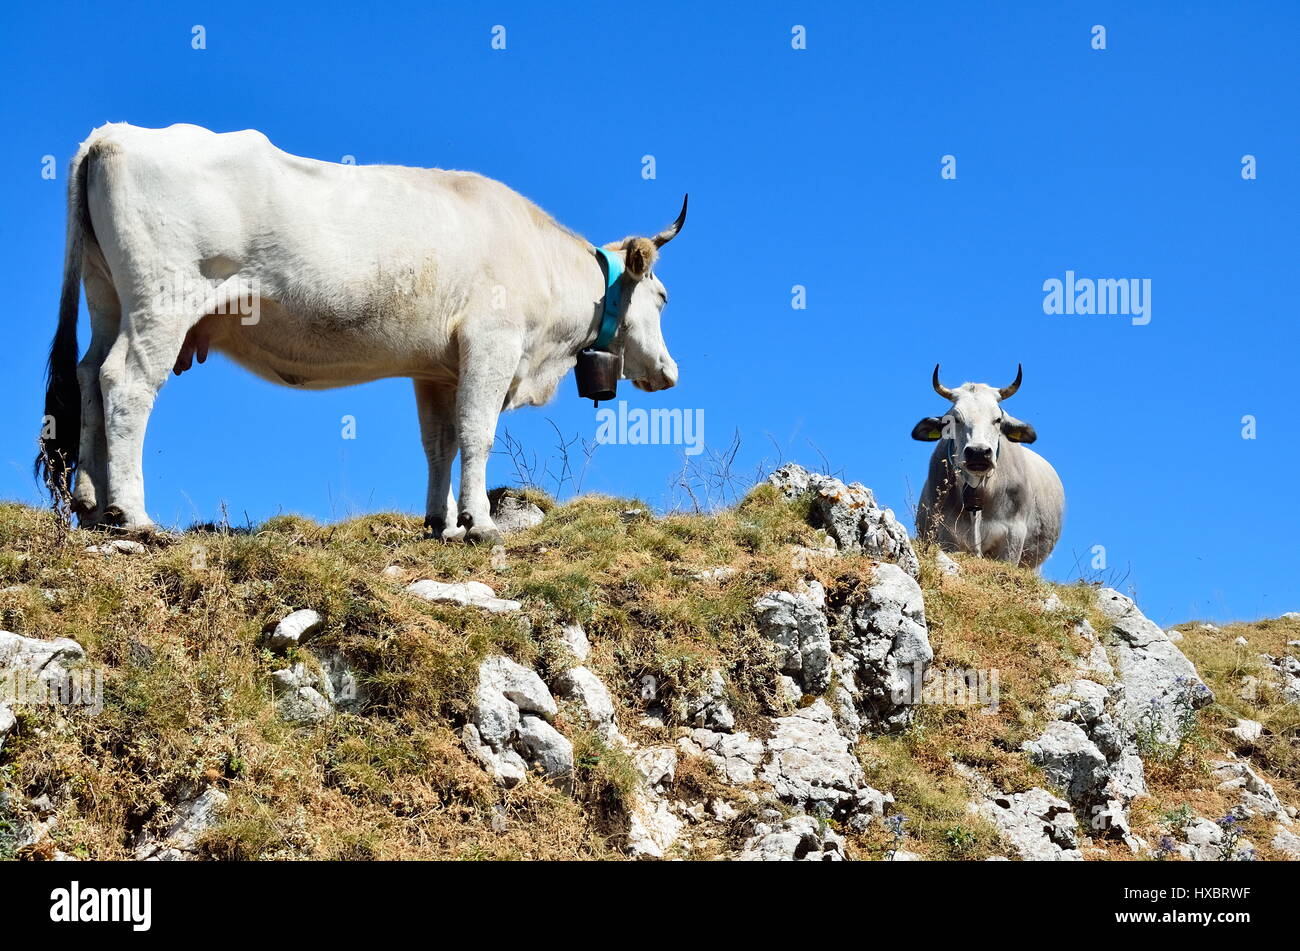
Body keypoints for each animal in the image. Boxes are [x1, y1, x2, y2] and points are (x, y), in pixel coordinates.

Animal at [38, 123, 691, 543]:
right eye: (663, 297)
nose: (670, 372)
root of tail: (114, 133)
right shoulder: (492, 342)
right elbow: (477, 434)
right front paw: (479, 524)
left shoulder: (436, 368)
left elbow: (439, 443)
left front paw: (441, 524)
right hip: (162, 302)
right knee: (126, 385)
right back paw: (134, 516)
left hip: (107, 297)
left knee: (89, 375)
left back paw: (92, 506)